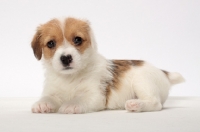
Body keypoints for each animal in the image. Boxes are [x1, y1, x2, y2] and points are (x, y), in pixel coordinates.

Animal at [30, 17, 185, 114]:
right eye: (51, 43)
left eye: (77, 39)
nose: (66, 58)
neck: (70, 77)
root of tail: (163, 72)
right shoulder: (52, 91)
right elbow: (48, 97)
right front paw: (42, 104)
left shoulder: (95, 95)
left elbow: (80, 98)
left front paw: (71, 105)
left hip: (143, 82)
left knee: (155, 103)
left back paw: (135, 105)